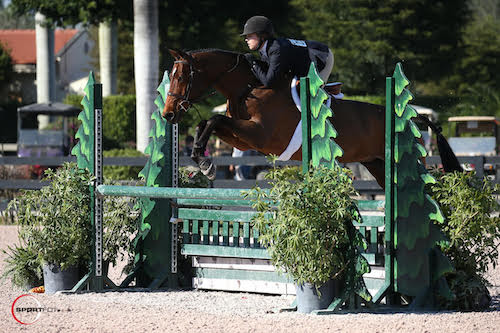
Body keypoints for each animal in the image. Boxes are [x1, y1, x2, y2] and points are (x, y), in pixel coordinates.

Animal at [163, 47, 460, 187]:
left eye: (181, 77)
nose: (168, 114)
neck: (249, 88)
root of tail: (412, 120)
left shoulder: (259, 136)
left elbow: (213, 121)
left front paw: (205, 164)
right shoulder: (242, 140)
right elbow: (207, 123)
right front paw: (202, 160)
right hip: (376, 164)